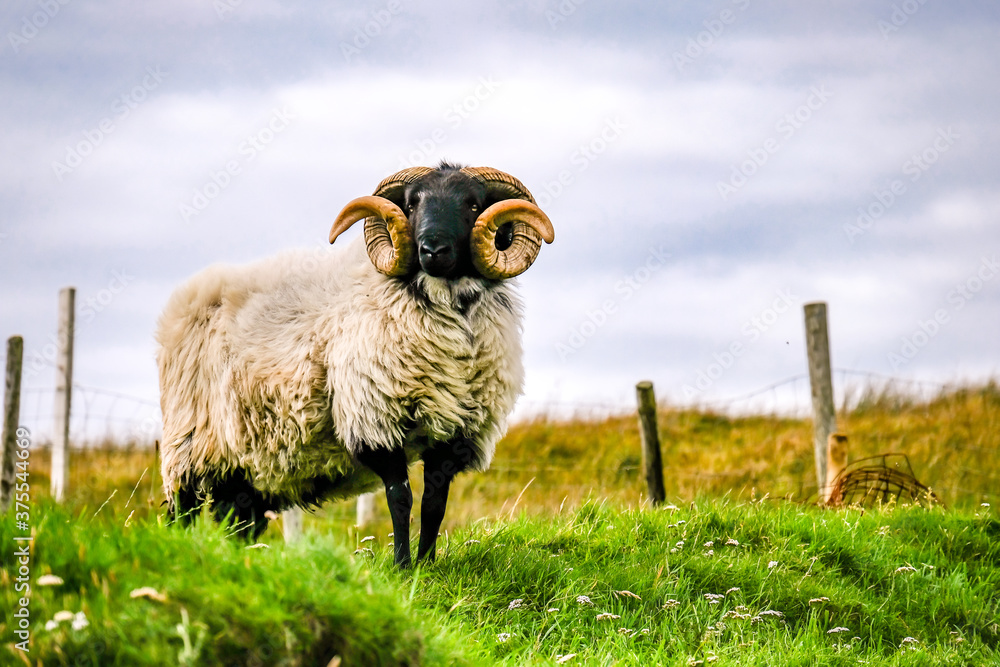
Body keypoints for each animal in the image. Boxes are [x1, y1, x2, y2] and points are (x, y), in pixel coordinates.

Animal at [156, 162, 554, 566]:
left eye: (473, 204)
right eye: (412, 204)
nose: (431, 250)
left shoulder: (454, 435)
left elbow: (433, 505)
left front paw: (427, 566)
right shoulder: (375, 418)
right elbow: (400, 498)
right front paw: (402, 567)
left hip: (247, 465)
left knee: (237, 521)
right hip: (188, 443)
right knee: (181, 511)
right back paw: (177, 552)